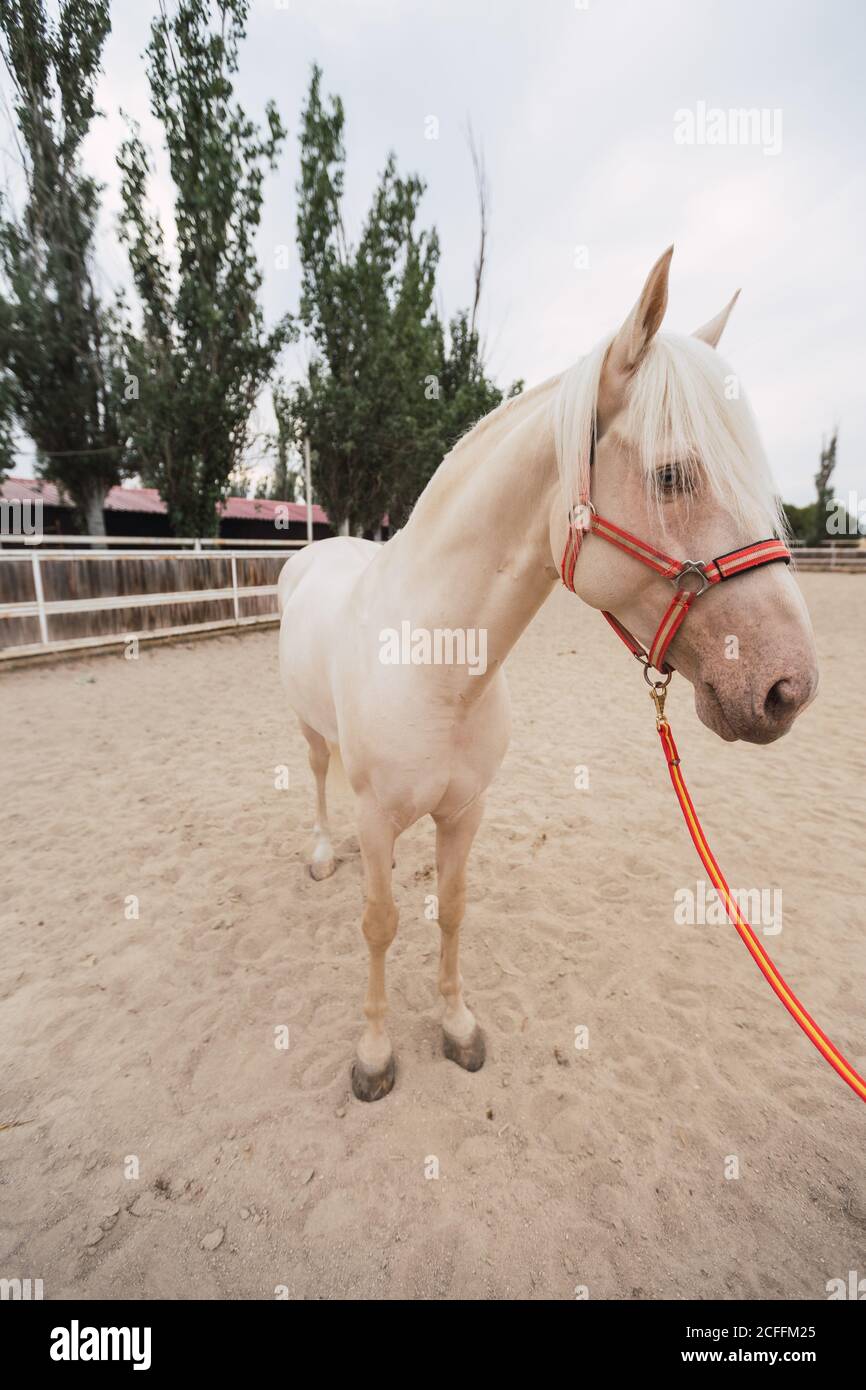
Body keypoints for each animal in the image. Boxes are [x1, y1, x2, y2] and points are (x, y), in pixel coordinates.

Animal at [277, 246, 818, 1102]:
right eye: (673, 475)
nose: (788, 688)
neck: (437, 668)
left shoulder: (465, 811)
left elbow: (452, 911)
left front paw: (458, 1028)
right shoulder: (375, 811)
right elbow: (379, 925)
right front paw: (373, 1054)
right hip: (311, 738)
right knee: (318, 777)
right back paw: (325, 853)